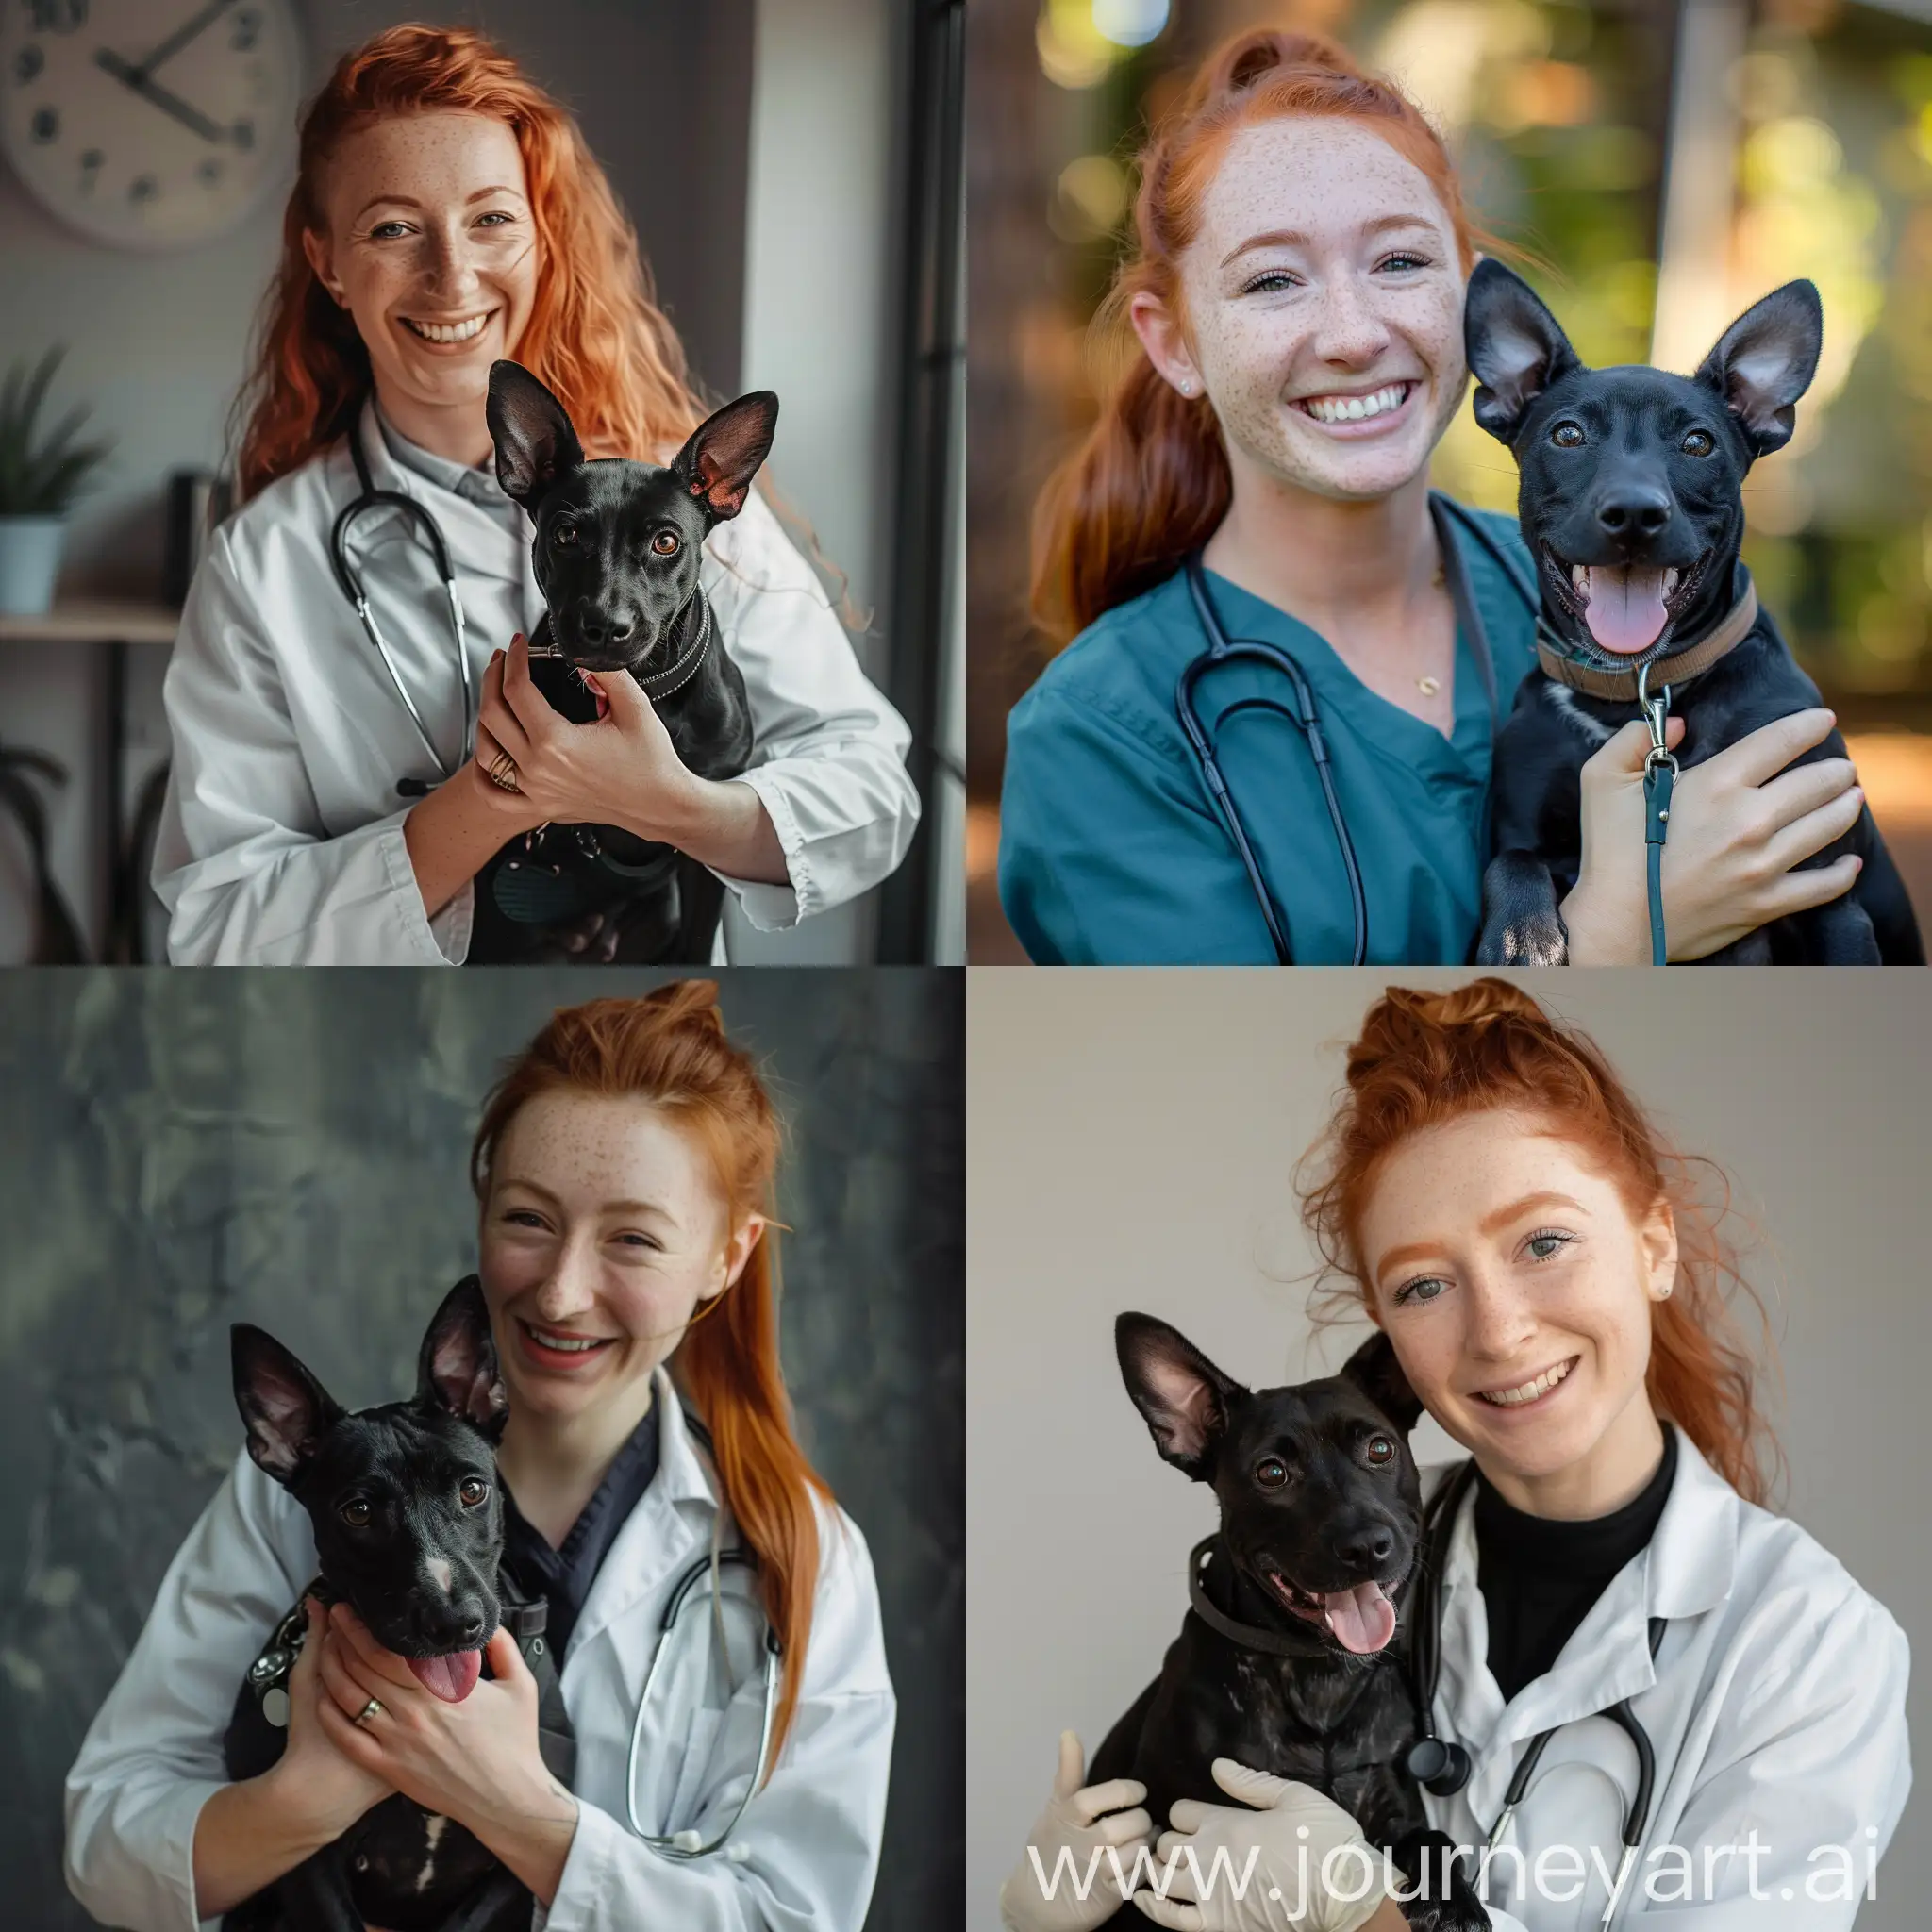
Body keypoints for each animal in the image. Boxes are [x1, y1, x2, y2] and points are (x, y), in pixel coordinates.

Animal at [467, 363, 776, 966]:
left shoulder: (709, 848)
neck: (643, 692)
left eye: (666, 542)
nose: (605, 626)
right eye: (566, 535)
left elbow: (697, 947)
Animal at [1090, 1321, 1475, 1924]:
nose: (1367, 1546)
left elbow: (1435, 1842)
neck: (1319, 1678)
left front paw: (1455, 1901)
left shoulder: (1389, 1802)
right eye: (1271, 1473)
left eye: (1380, 1448)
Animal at [1460, 260, 1916, 966]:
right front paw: (1521, 935)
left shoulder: (1832, 897)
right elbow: (1510, 862)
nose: (1634, 513)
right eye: (1567, 434)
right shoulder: (1521, 828)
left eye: (1698, 443)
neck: (1633, 698)